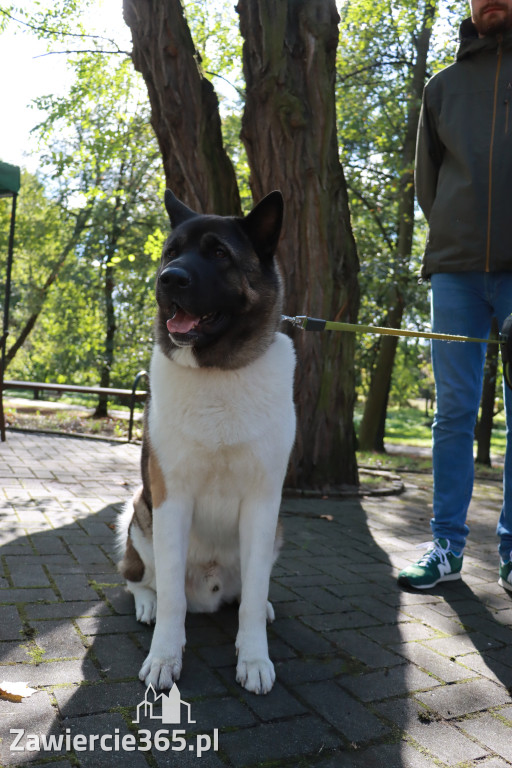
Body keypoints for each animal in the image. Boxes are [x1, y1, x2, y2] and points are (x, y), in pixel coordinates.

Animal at [117, 189, 296, 692]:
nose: (169, 279)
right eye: (170, 252)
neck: (218, 372)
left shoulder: (263, 505)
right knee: (141, 580)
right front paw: (164, 656)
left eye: (219, 253)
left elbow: (253, 594)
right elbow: (172, 598)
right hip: (141, 514)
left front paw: (254, 657)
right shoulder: (170, 499)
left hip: (276, 528)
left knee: (248, 590)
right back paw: (147, 603)